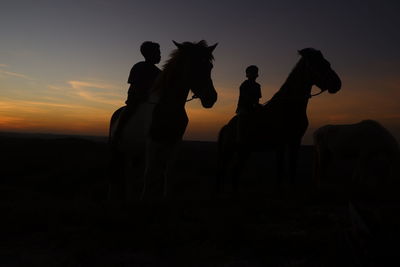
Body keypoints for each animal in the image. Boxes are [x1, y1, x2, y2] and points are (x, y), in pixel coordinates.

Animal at [108, 40, 219, 202]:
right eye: (192, 65)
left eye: (209, 66)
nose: (211, 98)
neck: (168, 108)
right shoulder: (152, 143)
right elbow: (148, 174)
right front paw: (143, 198)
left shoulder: (174, 143)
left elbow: (168, 173)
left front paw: (166, 198)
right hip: (118, 150)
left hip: (132, 152)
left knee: (129, 175)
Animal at [217, 48, 342, 193]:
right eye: (321, 64)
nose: (338, 84)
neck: (288, 106)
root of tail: (226, 127)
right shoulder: (287, 142)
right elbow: (286, 170)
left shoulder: (288, 143)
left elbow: (286, 170)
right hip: (233, 151)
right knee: (227, 172)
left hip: (241, 152)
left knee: (231, 173)